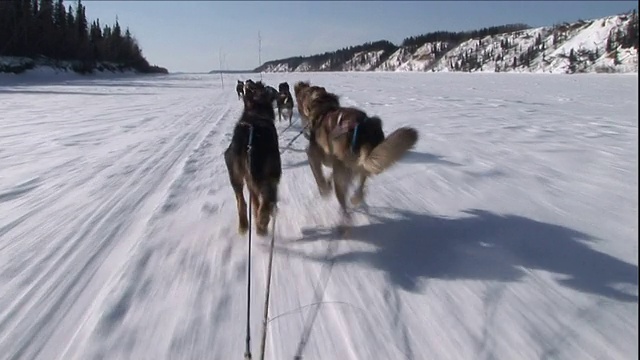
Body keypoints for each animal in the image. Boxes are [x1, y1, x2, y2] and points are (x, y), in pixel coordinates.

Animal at [224, 80, 282, 236]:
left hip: (236, 175)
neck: (255, 114)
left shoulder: (249, 179)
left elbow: (254, 202)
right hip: (272, 171)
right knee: (267, 199)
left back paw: (245, 224)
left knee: (241, 201)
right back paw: (263, 222)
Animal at [292, 81, 418, 228]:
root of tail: (362, 130)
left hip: (342, 175)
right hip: (359, 167)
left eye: (299, 101)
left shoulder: (314, 155)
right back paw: (355, 199)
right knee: (361, 188)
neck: (323, 106)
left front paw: (324, 190)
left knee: (344, 206)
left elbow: (319, 177)